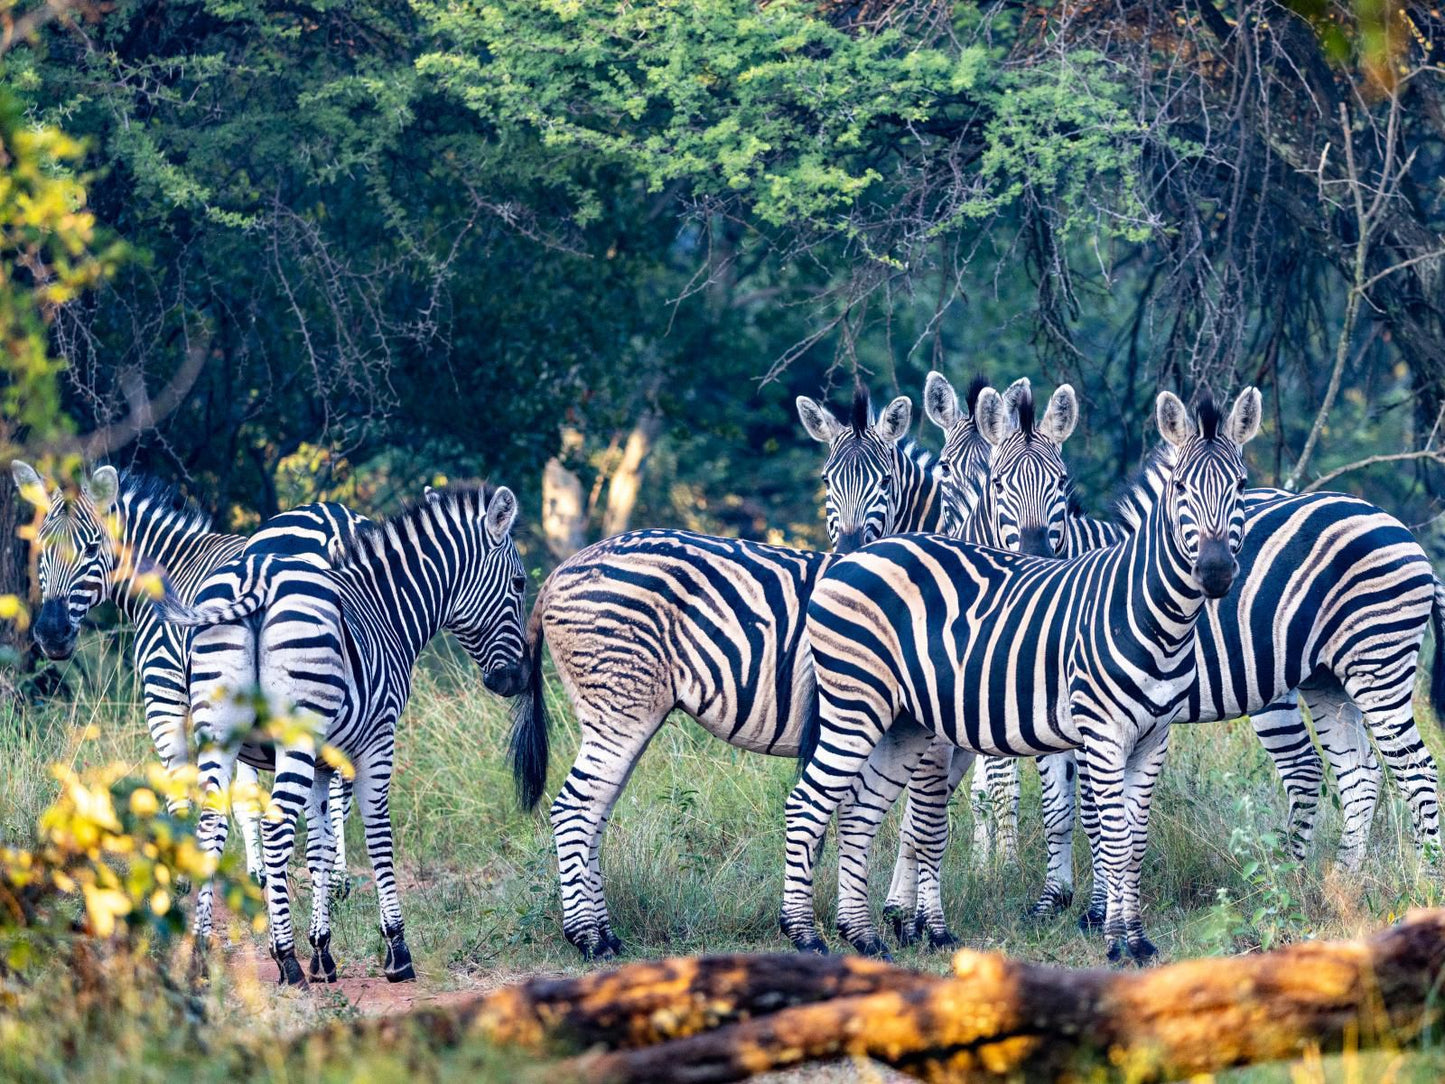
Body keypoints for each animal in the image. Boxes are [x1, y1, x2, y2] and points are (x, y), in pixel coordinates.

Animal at [155, 488, 528, 988]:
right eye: (520, 583)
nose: (516, 679)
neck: (386, 609)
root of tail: (257, 575)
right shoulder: (377, 740)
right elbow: (376, 833)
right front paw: (395, 949)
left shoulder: (322, 761)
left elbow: (320, 846)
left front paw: (322, 951)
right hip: (292, 735)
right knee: (274, 827)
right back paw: (287, 961)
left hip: (219, 734)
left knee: (211, 827)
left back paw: (200, 954)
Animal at [786, 387, 1271, 965]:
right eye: (1179, 488)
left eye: (1240, 485)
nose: (1216, 573)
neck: (1152, 615)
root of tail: (854, 557)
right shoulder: (1100, 733)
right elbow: (1106, 833)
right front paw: (1111, 938)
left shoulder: (1154, 738)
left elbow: (1133, 840)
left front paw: (1135, 938)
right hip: (857, 708)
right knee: (808, 803)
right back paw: (805, 936)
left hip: (900, 722)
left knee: (858, 814)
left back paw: (863, 937)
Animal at [924, 375, 1445, 925]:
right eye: (995, 483)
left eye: (1062, 485)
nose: (1036, 554)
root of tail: (1398, 528)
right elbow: (1056, 805)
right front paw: (1053, 899)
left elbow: (1083, 808)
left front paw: (1094, 908)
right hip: (1328, 678)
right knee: (1358, 774)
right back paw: (1339, 884)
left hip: (1377, 663)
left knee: (1415, 771)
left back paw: (1422, 889)